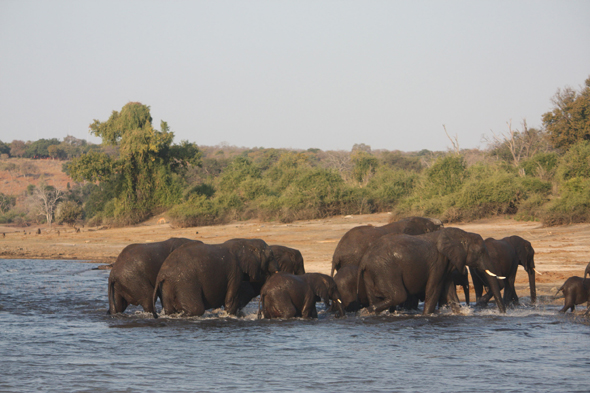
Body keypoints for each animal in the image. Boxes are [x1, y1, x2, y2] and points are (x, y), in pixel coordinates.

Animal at [358, 227, 506, 312]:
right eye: (481, 252)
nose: (503, 313)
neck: (463, 235)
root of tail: (364, 260)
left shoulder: (446, 264)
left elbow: (450, 292)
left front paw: (460, 313)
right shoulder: (438, 262)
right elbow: (433, 289)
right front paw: (427, 316)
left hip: (371, 272)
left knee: (376, 297)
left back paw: (368, 312)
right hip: (385, 269)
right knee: (398, 295)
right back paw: (364, 312)